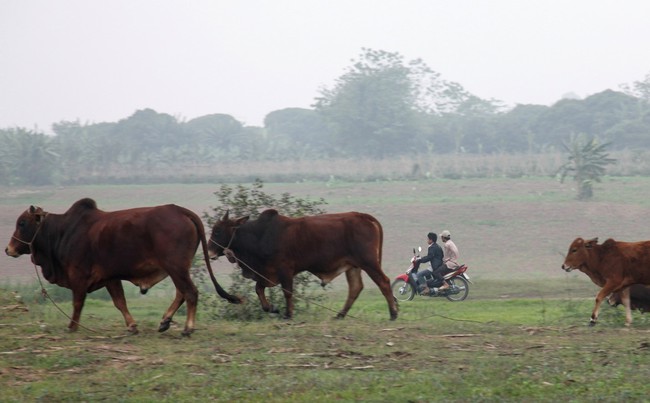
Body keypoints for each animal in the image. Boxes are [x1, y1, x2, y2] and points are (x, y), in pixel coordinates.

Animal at [5, 198, 240, 334]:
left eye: (22, 223)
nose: (8, 249)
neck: (63, 232)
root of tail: (181, 210)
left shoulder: (78, 276)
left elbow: (77, 303)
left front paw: (72, 326)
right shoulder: (110, 277)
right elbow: (120, 302)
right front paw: (132, 326)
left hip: (176, 267)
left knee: (190, 292)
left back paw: (188, 327)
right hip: (179, 269)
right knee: (182, 293)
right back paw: (165, 321)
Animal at [206, 210, 394, 320]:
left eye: (218, 231)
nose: (209, 252)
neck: (260, 235)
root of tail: (365, 216)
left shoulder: (285, 269)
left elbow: (287, 292)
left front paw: (288, 314)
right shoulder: (266, 273)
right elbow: (258, 289)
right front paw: (271, 308)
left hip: (368, 262)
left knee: (383, 282)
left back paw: (393, 313)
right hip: (353, 266)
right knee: (355, 288)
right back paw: (340, 315)